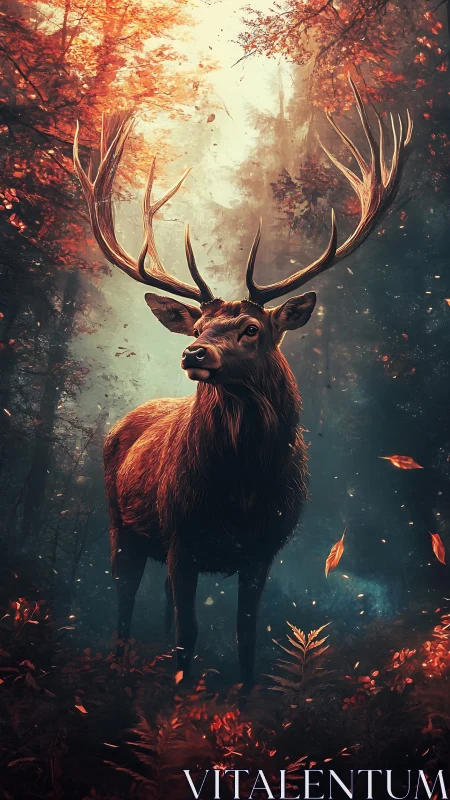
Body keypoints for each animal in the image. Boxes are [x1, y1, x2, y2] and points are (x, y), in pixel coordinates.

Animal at [73, 77, 411, 690]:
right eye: (198, 326)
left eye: (252, 329)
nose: (193, 352)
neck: (241, 489)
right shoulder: (182, 536)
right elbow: (189, 635)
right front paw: (181, 701)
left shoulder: (263, 549)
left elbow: (245, 635)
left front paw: (245, 697)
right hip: (120, 525)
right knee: (125, 598)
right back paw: (119, 667)